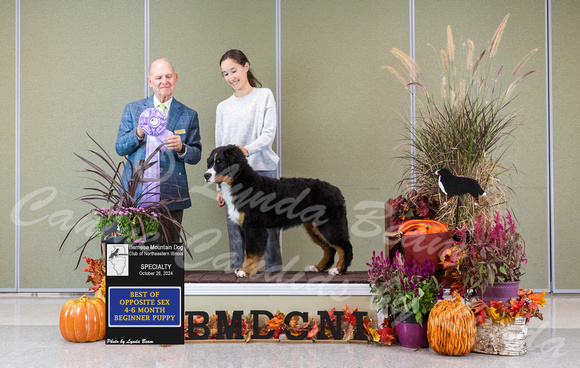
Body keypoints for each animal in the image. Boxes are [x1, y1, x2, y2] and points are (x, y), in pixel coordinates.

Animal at [204, 145, 354, 278]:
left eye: (220, 162)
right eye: (210, 162)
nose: (206, 175)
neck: (241, 183)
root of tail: (336, 190)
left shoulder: (254, 226)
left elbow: (251, 252)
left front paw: (245, 272)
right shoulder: (246, 227)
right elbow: (247, 252)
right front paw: (243, 269)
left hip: (329, 224)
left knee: (344, 246)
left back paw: (339, 270)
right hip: (315, 227)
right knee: (329, 248)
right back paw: (319, 267)